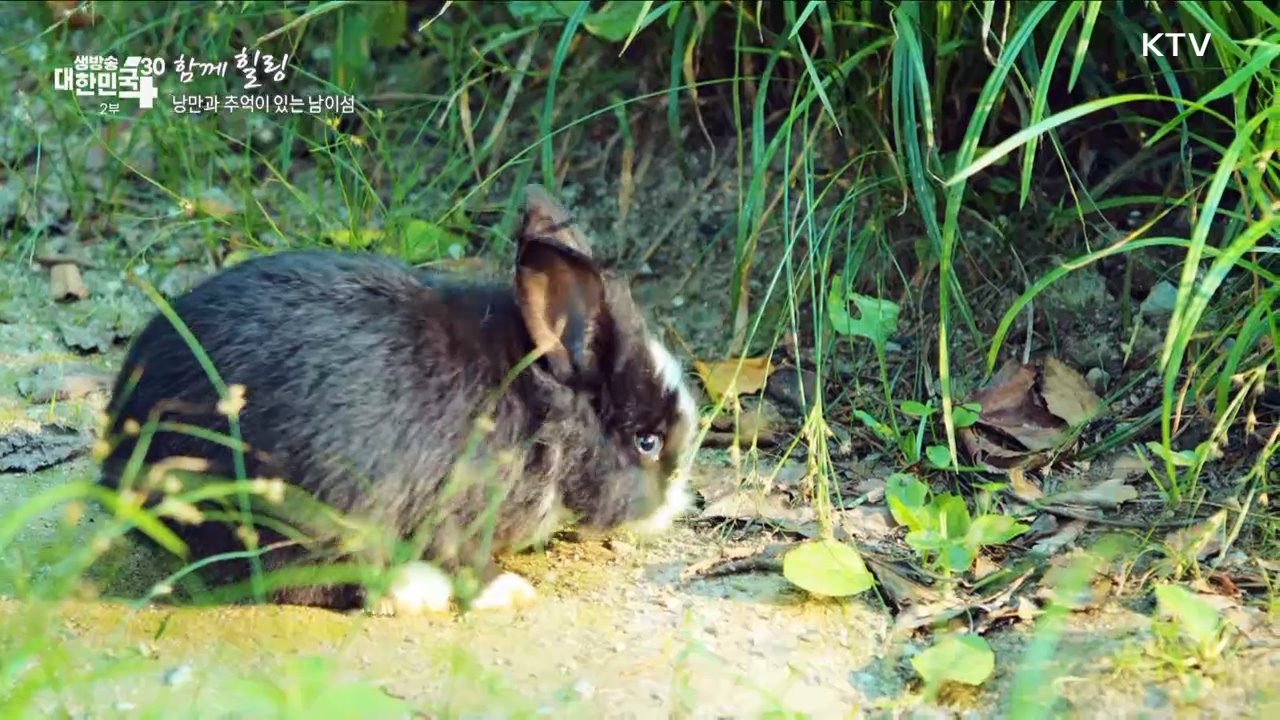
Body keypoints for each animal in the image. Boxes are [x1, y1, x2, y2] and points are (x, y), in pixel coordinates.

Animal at [98, 183, 701, 609]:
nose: (676, 499)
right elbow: (465, 559)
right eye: (647, 442)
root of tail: (122, 453)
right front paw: (507, 592)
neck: (541, 412)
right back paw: (410, 591)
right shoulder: (459, 511)